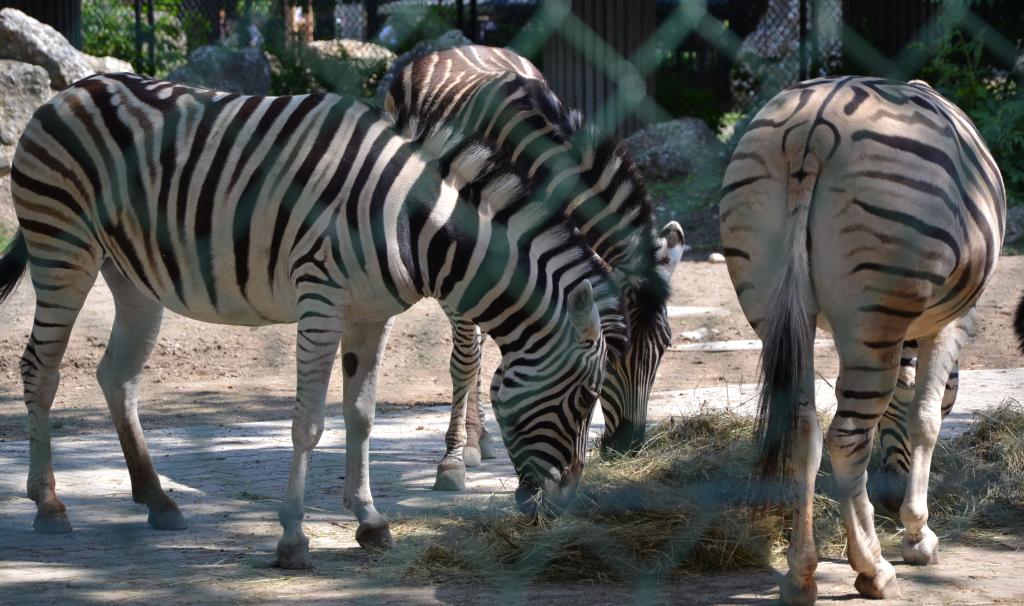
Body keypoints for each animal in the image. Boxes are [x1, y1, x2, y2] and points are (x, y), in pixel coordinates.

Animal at [0, 72, 630, 568]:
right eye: (584, 397)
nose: (567, 503)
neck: (410, 220)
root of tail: (72, 89)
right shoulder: (320, 300)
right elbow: (309, 424)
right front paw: (293, 539)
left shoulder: (371, 317)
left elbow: (361, 417)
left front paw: (370, 521)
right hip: (63, 248)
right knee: (40, 370)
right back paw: (49, 504)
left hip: (134, 277)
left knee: (118, 377)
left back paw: (158, 499)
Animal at [384, 45, 684, 491]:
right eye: (616, 356)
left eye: (664, 347)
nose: (629, 449)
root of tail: (453, 48)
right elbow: (466, 360)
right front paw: (452, 462)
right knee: (469, 347)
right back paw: (468, 443)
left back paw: (481, 438)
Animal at [720, 76, 1004, 603]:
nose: (891, 501)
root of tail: (811, 127)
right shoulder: (953, 321)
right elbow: (926, 419)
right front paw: (918, 536)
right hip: (875, 317)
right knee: (847, 437)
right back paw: (874, 569)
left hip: (771, 303)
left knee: (805, 429)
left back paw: (801, 572)